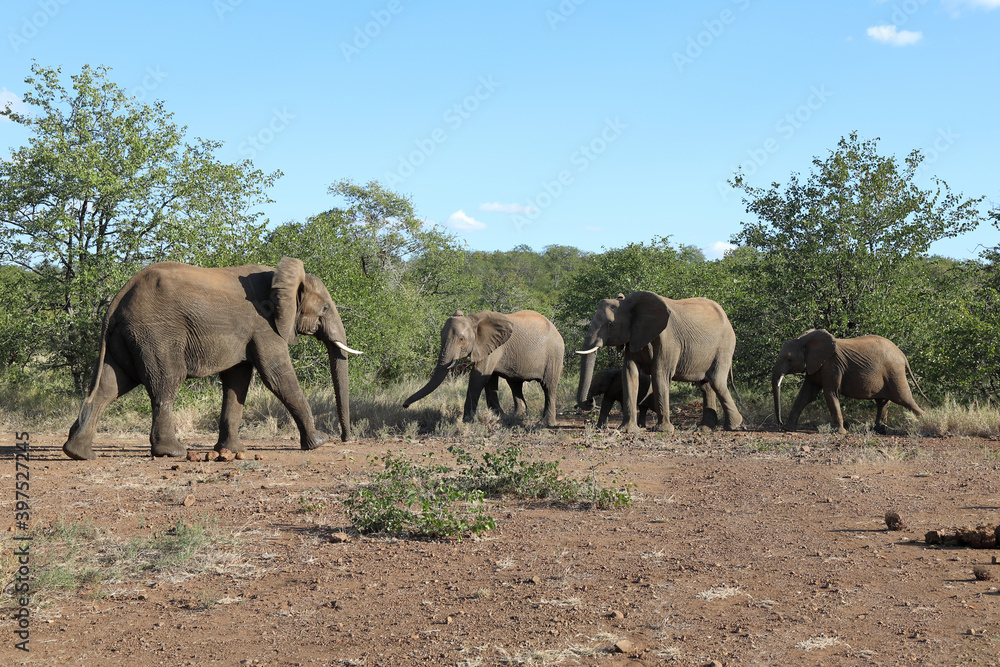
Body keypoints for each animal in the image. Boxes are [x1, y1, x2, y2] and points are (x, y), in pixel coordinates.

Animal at [62, 257, 361, 460]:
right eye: (325, 308)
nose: (345, 439)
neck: (283, 277)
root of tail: (118, 298)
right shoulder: (264, 325)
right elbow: (276, 375)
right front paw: (319, 442)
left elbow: (238, 380)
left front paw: (232, 451)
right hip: (155, 333)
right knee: (166, 383)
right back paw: (172, 452)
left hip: (126, 336)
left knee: (110, 385)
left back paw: (78, 453)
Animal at [402, 310, 564, 426]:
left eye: (461, 339)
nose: (404, 405)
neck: (473, 320)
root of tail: (556, 329)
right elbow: (489, 380)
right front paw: (500, 417)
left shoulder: (494, 347)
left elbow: (478, 378)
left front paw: (467, 421)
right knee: (515, 384)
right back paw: (516, 417)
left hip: (555, 355)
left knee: (548, 386)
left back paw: (545, 423)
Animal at [576, 291, 743, 433]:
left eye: (610, 324)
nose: (590, 402)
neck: (630, 304)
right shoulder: (634, 336)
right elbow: (630, 373)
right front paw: (627, 430)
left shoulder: (668, 340)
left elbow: (660, 374)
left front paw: (663, 430)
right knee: (705, 386)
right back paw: (705, 429)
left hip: (725, 345)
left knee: (716, 381)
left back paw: (734, 425)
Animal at [772, 329, 926, 434]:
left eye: (789, 359)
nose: (779, 423)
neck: (805, 340)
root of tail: (902, 355)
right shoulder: (814, 366)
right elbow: (806, 395)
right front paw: (788, 428)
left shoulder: (832, 365)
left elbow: (831, 393)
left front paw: (839, 433)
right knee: (882, 402)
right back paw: (878, 431)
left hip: (894, 372)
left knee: (904, 398)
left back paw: (924, 422)